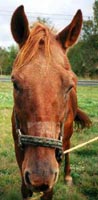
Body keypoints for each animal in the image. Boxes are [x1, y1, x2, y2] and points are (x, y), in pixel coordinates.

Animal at [10, 5, 91, 200]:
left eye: (69, 86)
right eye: (15, 83)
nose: (40, 177)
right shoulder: (19, 150)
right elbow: (25, 189)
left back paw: (68, 176)